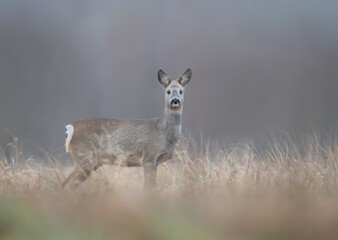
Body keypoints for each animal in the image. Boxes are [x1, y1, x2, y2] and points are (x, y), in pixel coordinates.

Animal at [61, 68, 191, 189]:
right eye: (168, 91)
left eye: (181, 91)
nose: (175, 100)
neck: (163, 132)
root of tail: (71, 128)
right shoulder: (149, 157)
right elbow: (149, 186)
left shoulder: (155, 161)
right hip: (85, 156)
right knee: (65, 184)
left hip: (92, 161)